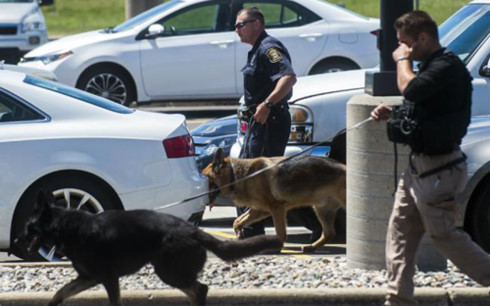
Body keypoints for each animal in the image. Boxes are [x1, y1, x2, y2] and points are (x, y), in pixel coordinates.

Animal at [20, 190, 280, 304]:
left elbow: (114, 302)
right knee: (197, 290)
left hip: (167, 271)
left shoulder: (108, 278)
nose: (15, 241)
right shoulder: (88, 278)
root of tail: (193, 231)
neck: (66, 227)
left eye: (28, 227)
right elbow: (60, 292)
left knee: (200, 289)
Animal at [201, 149, 346, 253]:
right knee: (329, 233)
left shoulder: (277, 208)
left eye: (205, 177)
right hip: (322, 210)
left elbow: (280, 232)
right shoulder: (260, 210)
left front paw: (276, 246)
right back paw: (312, 247)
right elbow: (237, 221)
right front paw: (239, 234)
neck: (237, 176)